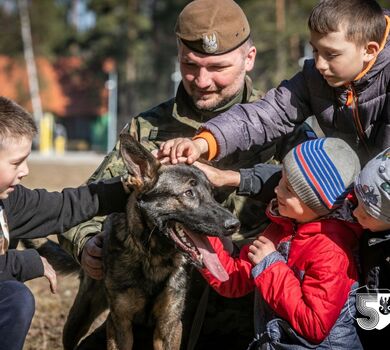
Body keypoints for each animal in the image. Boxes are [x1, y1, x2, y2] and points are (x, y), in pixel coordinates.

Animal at [57, 135, 241, 350]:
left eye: (212, 193)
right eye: (188, 193)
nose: (234, 224)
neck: (153, 258)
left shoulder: (169, 325)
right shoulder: (120, 324)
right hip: (79, 317)